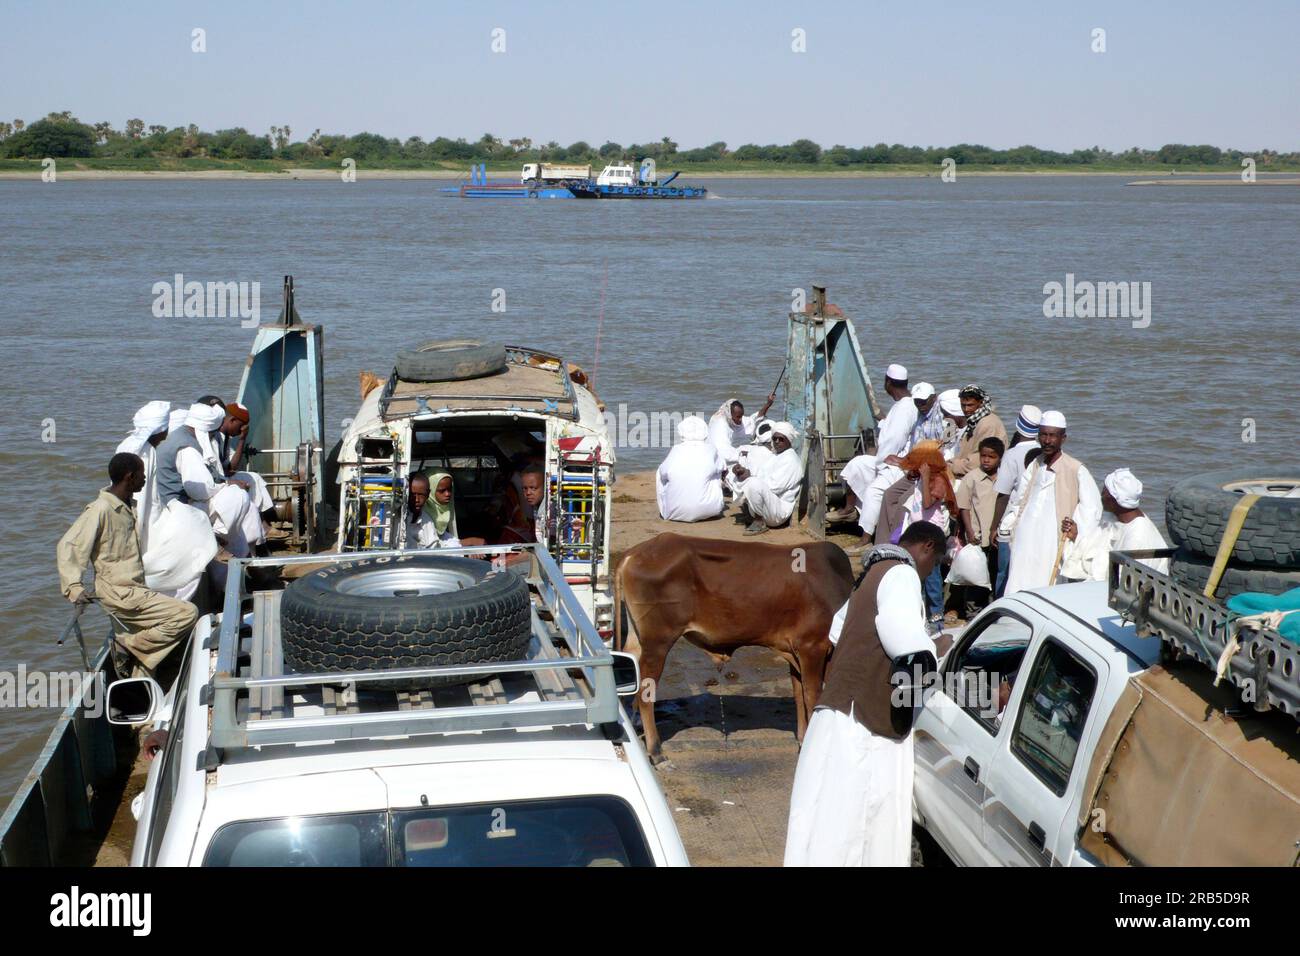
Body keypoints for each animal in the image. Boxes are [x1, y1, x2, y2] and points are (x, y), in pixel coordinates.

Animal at [616, 530, 857, 764]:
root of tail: (634, 554)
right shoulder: (812, 647)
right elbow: (812, 696)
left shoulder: (796, 652)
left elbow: (799, 696)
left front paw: (803, 740)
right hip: (657, 643)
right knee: (644, 695)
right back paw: (656, 752)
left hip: (639, 642)